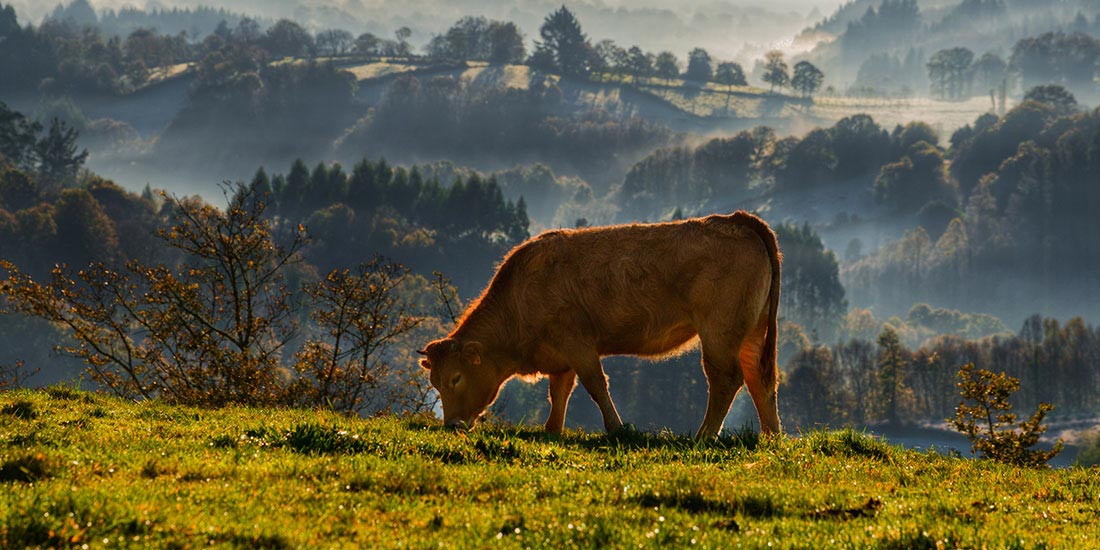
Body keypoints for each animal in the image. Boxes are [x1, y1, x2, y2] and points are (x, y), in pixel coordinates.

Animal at [413, 210, 783, 437]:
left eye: (456, 377)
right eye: (434, 382)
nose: (452, 425)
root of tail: (735, 219)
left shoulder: (577, 342)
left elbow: (595, 385)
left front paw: (617, 428)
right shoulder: (560, 356)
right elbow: (559, 391)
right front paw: (552, 429)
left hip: (720, 330)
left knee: (726, 378)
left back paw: (705, 435)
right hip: (753, 331)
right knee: (760, 379)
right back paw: (771, 436)